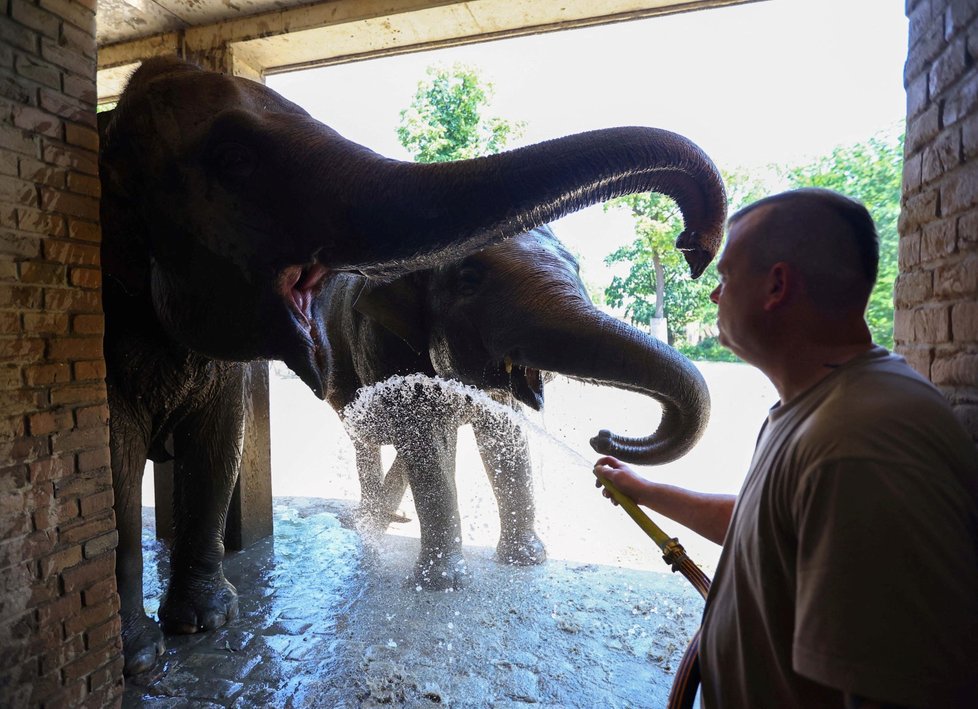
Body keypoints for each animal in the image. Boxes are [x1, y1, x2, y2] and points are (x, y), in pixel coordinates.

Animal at [318, 224, 708, 588]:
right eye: (468, 280)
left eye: (577, 267)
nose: (601, 437)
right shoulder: (382, 342)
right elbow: (424, 436)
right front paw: (441, 584)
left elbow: (505, 433)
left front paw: (526, 559)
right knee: (364, 439)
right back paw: (368, 525)